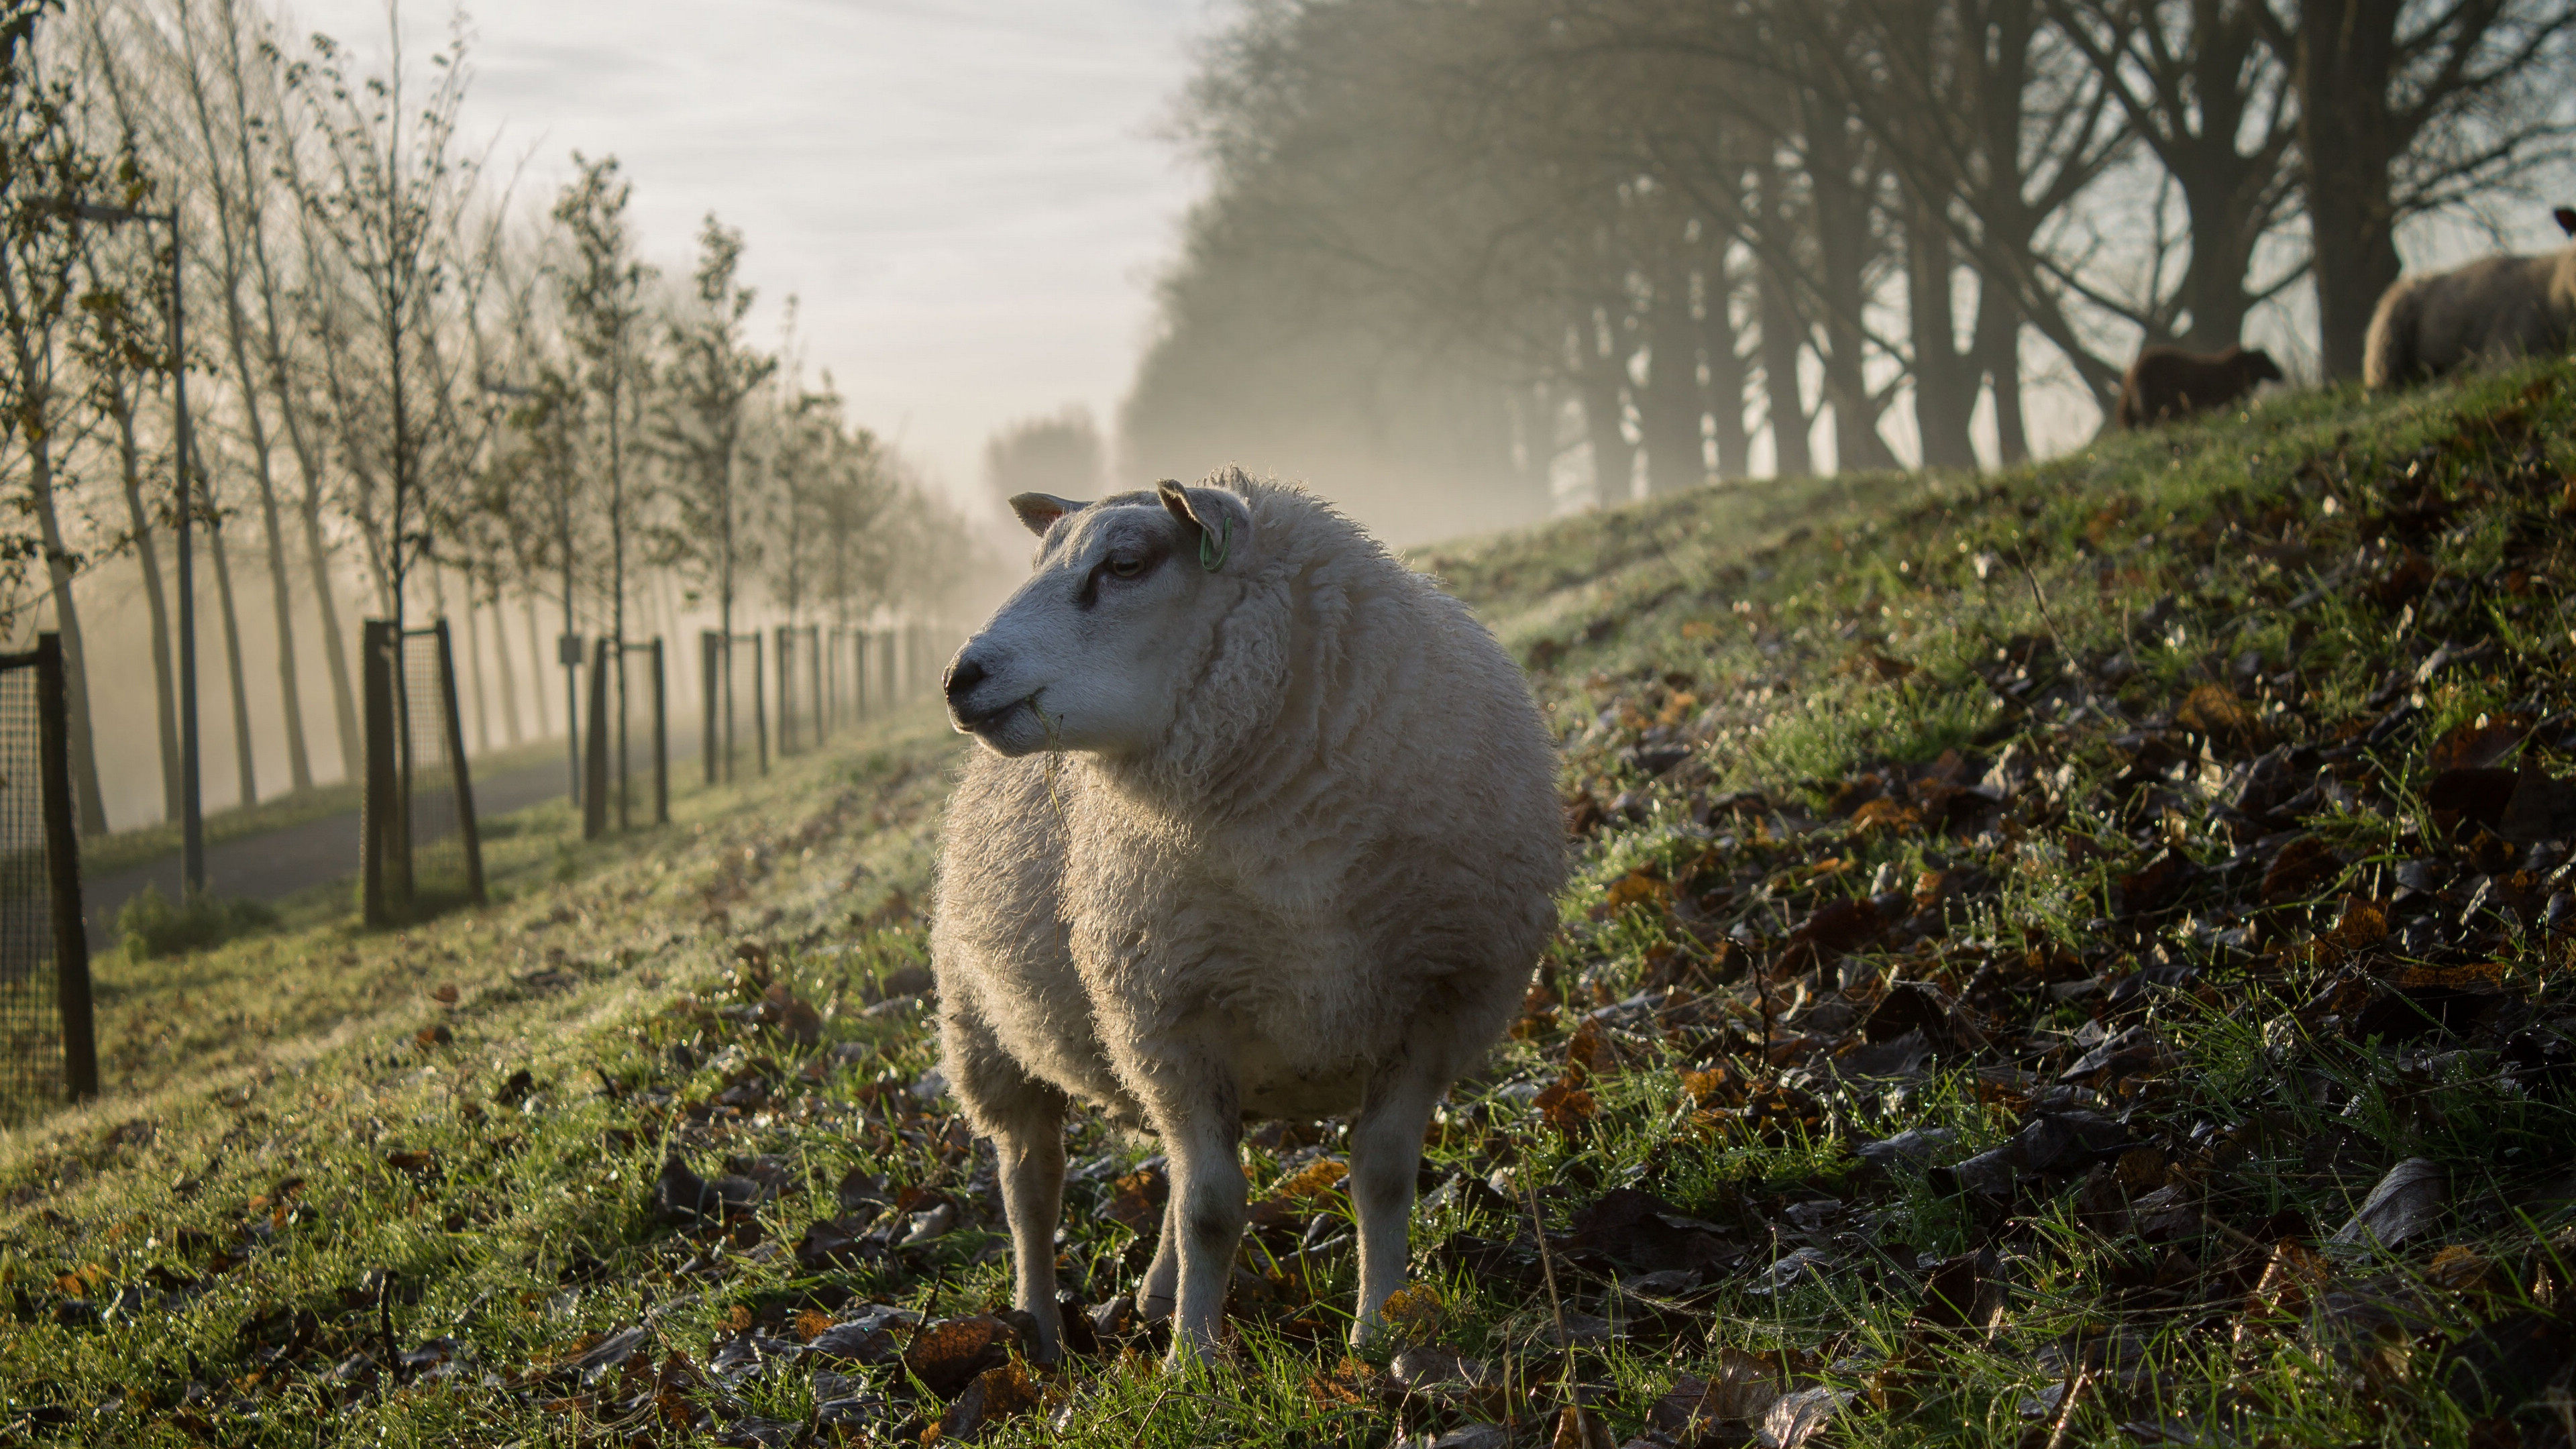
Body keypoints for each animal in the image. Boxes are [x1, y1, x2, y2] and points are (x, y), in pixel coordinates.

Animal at [932, 469, 1556, 1361]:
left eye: (1125, 565)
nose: (960, 677)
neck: (1297, 863)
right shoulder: (1169, 1022)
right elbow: (1211, 1207)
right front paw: (1193, 1361)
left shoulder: (1439, 1007)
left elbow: (1381, 1174)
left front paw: (1379, 1329)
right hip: (986, 1034)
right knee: (1031, 1184)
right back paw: (1042, 1329)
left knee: (1158, 1167)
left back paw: (1154, 1296)